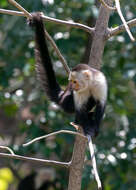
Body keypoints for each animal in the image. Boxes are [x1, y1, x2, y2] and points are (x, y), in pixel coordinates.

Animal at [28, 12, 108, 140]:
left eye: (75, 82)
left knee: (92, 100)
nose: (72, 86)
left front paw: (95, 128)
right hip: (66, 102)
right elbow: (80, 109)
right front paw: (87, 128)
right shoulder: (78, 93)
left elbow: (101, 105)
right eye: (71, 81)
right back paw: (78, 121)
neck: (89, 84)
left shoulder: (100, 81)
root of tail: (61, 96)